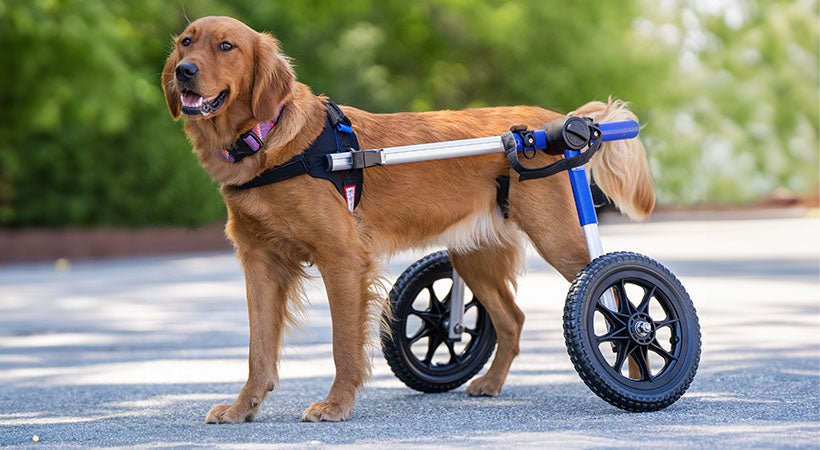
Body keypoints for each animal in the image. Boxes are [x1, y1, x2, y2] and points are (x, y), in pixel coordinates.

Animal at [163, 15, 656, 424]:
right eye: (187, 41)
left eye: (226, 46)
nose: (184, 70)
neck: (266, 143)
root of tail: (559, 122)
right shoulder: (261, 263)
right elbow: (258, 351)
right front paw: (242, 408)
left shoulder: (342, 259)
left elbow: (343, 346)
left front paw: (336, 405)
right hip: (472, 256)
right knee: (512, 319)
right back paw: (491, 383)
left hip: (561, 241)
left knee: (615, 297)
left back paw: (639, 379)